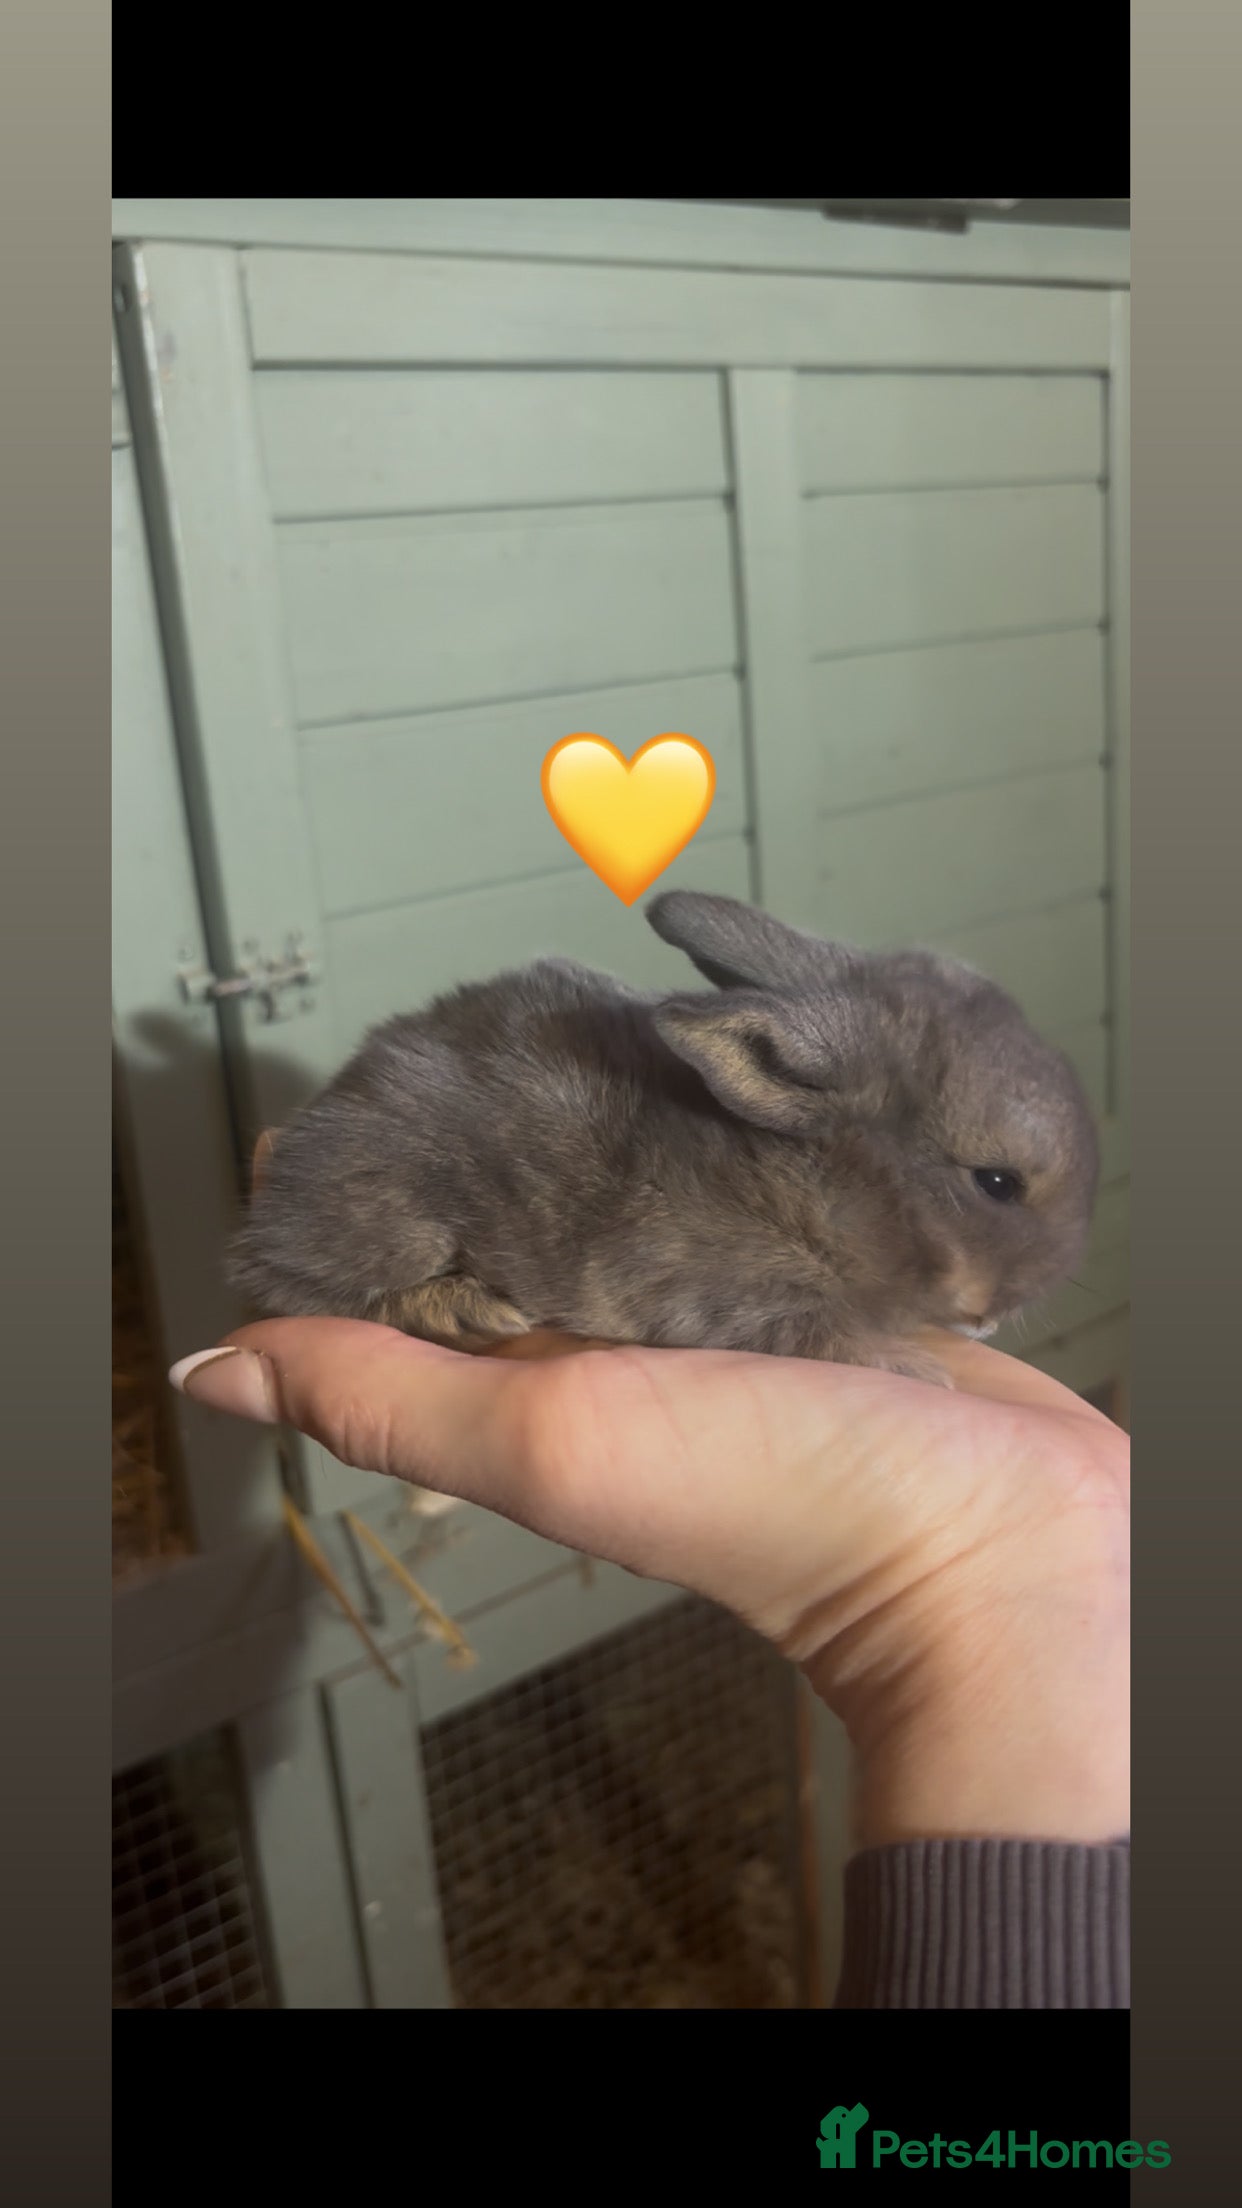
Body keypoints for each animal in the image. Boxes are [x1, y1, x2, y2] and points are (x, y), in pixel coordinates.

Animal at [227, 890, 1099, 1386]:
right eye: (996, 1182)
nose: (995, 1318)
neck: (816, 1189)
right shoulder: (741, 1299)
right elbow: (819, 1334)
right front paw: (914, 1369)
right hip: (391, 1219)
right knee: (289, 1282)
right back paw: (467, 1309)